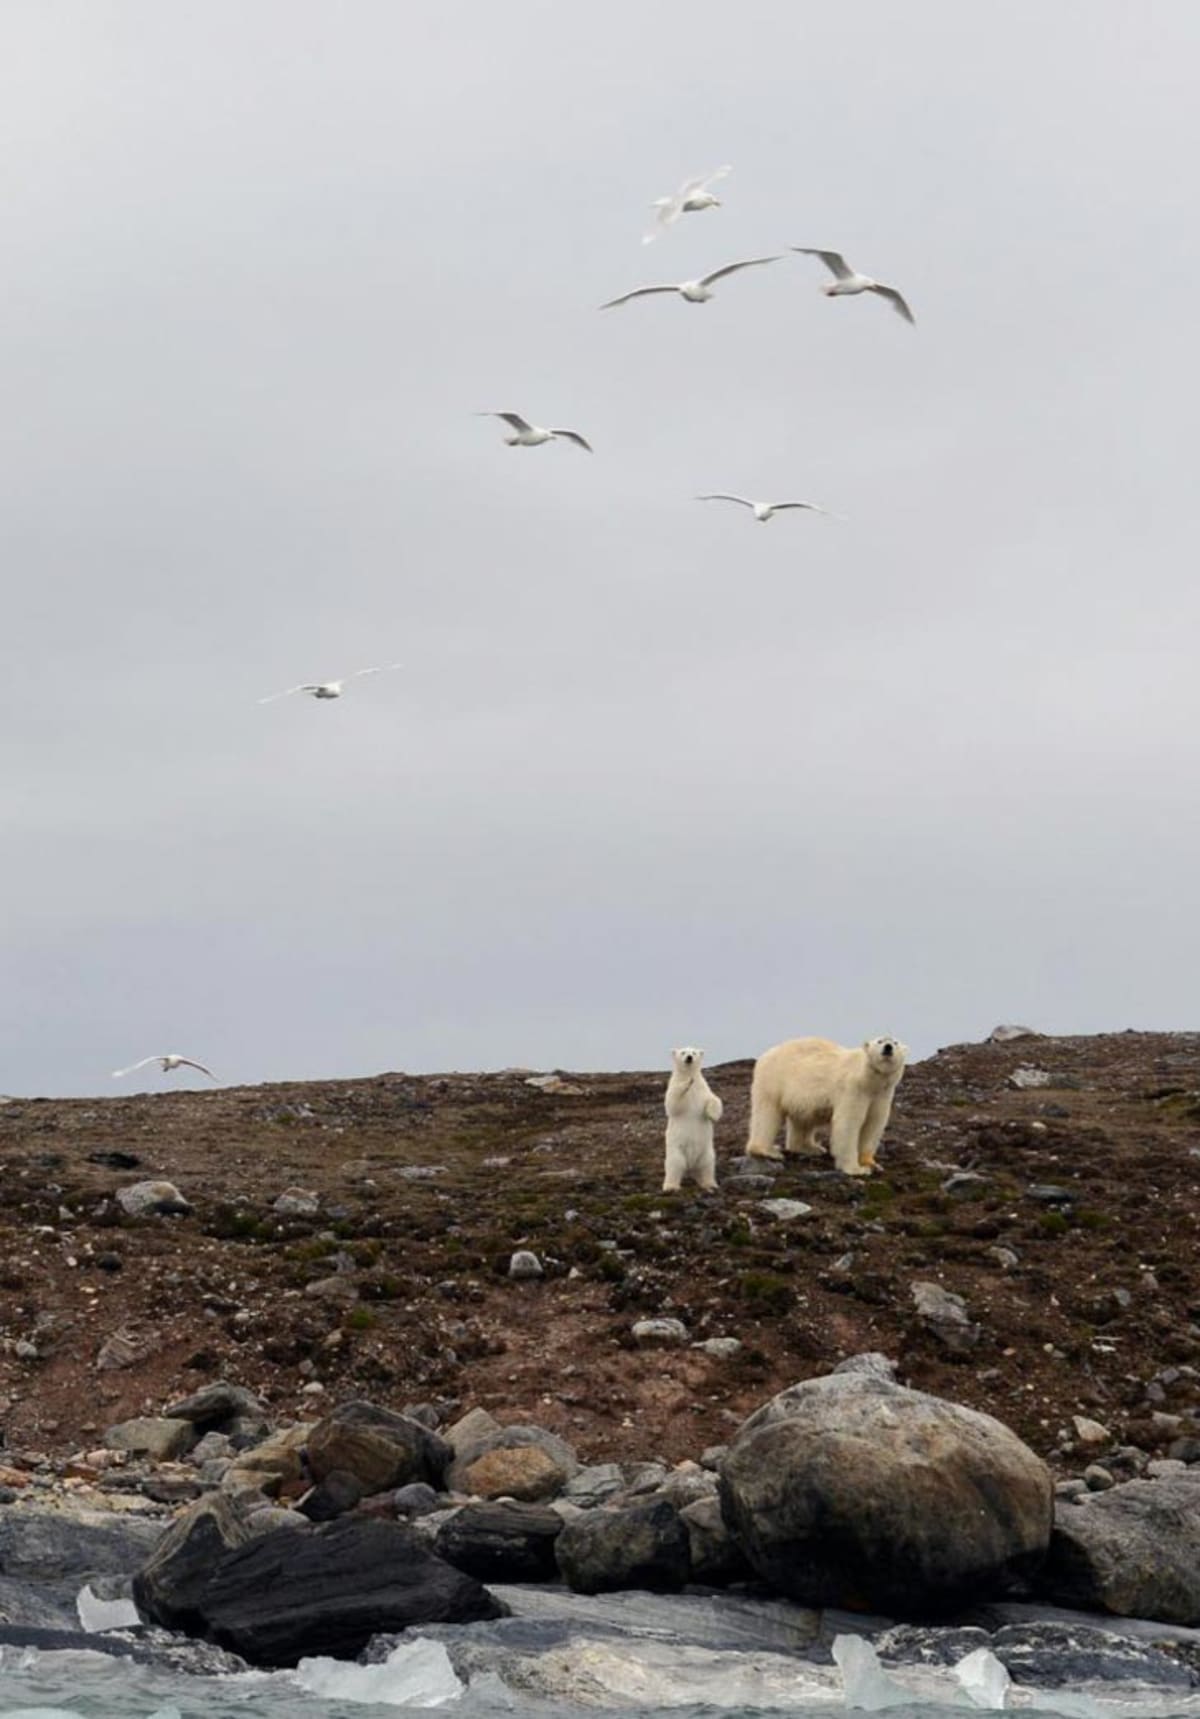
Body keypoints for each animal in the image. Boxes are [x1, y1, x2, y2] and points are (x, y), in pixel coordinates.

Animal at [663, 1047, 723, 1193]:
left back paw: (710, 1184)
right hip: (676, 1151)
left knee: (707, 1167)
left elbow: (714, 1099)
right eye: (683, 1052)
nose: (689, 1057)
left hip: (706, 1152)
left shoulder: (703, 1090)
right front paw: (687, 1083)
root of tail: (690, 1167)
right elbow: (672, 1103)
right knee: (674, 1165)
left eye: (694, 1052)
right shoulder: (673, 1087)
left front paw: (712, 1113)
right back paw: (671, 1186)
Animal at [746, 1035, 908, 1177]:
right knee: (767, 1113)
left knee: (803, 1119)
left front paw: (872, 1164)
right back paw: (767, 1151)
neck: (868, 1080)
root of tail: (767, 1053)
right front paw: (855, 1169)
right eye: (880, 1041)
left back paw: (811, 1148)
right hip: (774, 1080)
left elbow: (873, 1125)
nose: (888, 1047)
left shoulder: (881, 1095)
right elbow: (848, 1123)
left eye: (895, 1042)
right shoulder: (853, 1089)